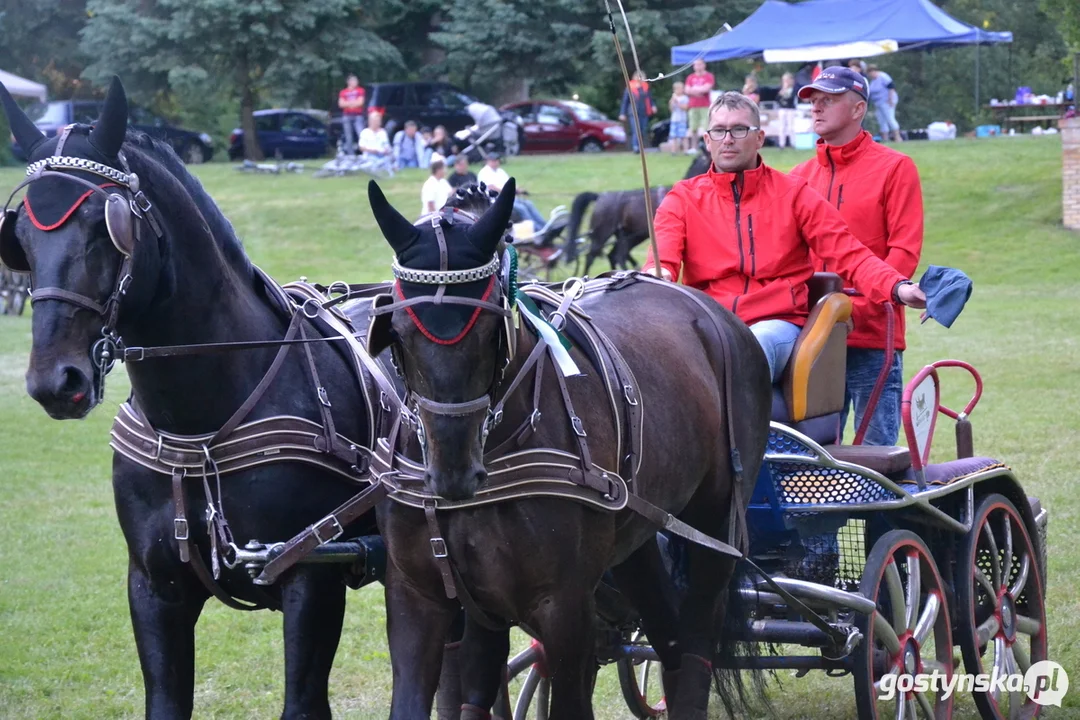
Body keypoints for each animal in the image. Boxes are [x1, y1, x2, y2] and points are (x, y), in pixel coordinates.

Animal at [0, 76, 386, 716]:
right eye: (21, 238)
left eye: (105, 227)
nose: (56, 381)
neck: (201, 429)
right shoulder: (155, 589)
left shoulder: (313, 578)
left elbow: (303, 701)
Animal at [367, 175, 773, 720]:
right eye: (402, 330)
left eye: (493, 327)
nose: (452, 471)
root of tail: (711, 313)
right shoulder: (420, 599)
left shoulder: (564, 606)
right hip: (635, 537)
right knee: (667, 636)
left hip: (713, 525)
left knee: (695, 645)